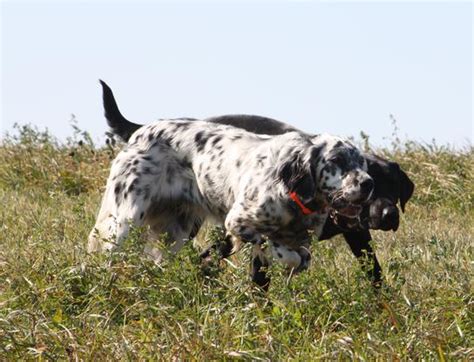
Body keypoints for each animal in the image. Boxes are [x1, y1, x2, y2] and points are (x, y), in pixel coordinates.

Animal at [97, 81, 414, 288]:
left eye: (362, 166)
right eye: (336, 160)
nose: (367, 185)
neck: (295, 195)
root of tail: (143, 129)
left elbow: (307, 258)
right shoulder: (238, 224)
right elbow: (276, 251)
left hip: (176, 231)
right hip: (124, 220)